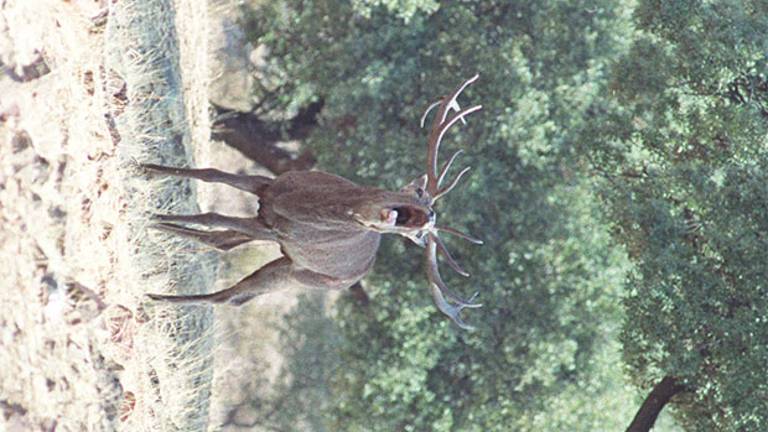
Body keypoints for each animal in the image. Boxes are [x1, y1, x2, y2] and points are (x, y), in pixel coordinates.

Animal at [146, 76, 484, 330]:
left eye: (419, 237)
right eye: (417, 190)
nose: (430, 215)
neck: (303, 205)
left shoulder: (278, 230)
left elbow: (214, 216)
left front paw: (154, 218)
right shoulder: (269, 187)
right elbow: (211, 174)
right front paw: (148, 170)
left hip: (296, 274)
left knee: (231, 291)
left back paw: (158, 297)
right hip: (287, 260)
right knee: (227, 249)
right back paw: (160, 292)